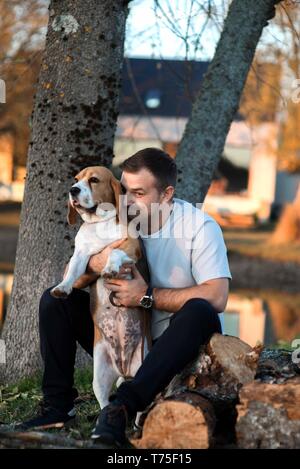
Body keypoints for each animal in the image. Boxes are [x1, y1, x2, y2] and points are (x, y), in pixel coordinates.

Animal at [50, 167, 152, 410]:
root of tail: (124, 367)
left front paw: (111, 267)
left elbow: (114, 252)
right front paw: (62, 287)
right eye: (76, 179)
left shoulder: (131, 246)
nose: (73, 190)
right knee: (105, 401)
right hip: (100, 376)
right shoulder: (81, 254)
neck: (98, 224)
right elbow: (72, 271)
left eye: (94, 180)